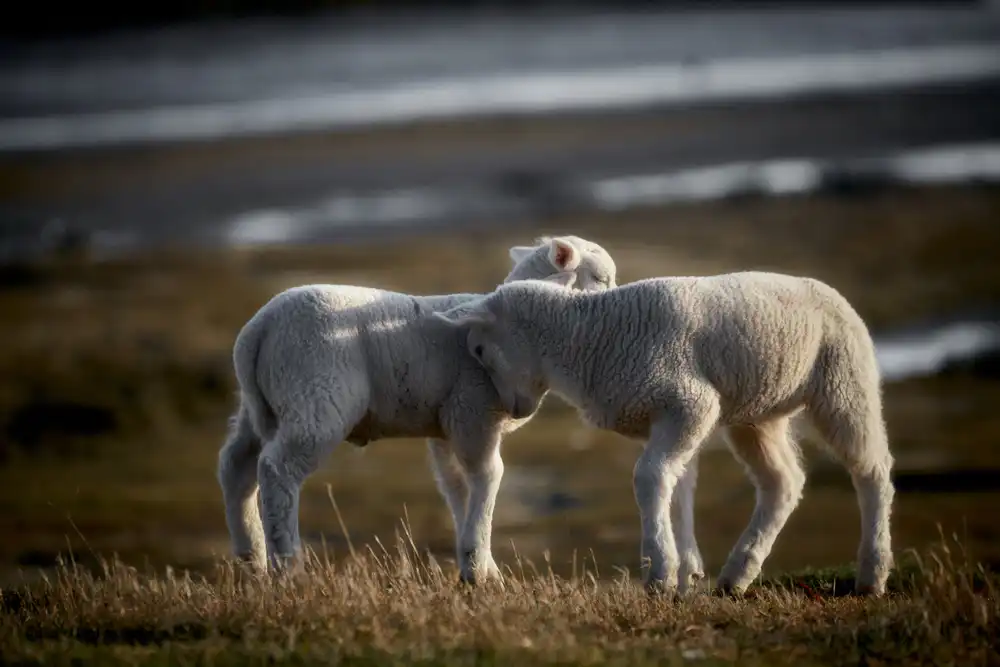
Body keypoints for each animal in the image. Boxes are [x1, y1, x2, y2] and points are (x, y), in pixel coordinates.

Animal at [216, 235, 618, 583]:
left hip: (264, 405)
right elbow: (488, 476)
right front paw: (479, 569)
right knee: (277, 469)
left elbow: (456, 486)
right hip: (316, 398)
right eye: (601, 278)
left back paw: (251, 558)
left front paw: (479, 565)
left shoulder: (446, 425)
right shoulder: (472, 412)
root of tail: (259, 329)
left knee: (236, 466)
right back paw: (288, 567)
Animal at [434, 272, 895, 596]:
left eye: (479, 349)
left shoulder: (691, 403)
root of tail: (829, 291)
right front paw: (681, 570)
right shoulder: (659, 417)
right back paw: (738, 574)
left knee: (872, 471)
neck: (587, 339)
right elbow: (673, 484)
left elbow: (649, 477)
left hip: (843, 382)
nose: (514, 412)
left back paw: (872, 573)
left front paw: (659, 572)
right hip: (757, 413)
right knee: (783, 481)